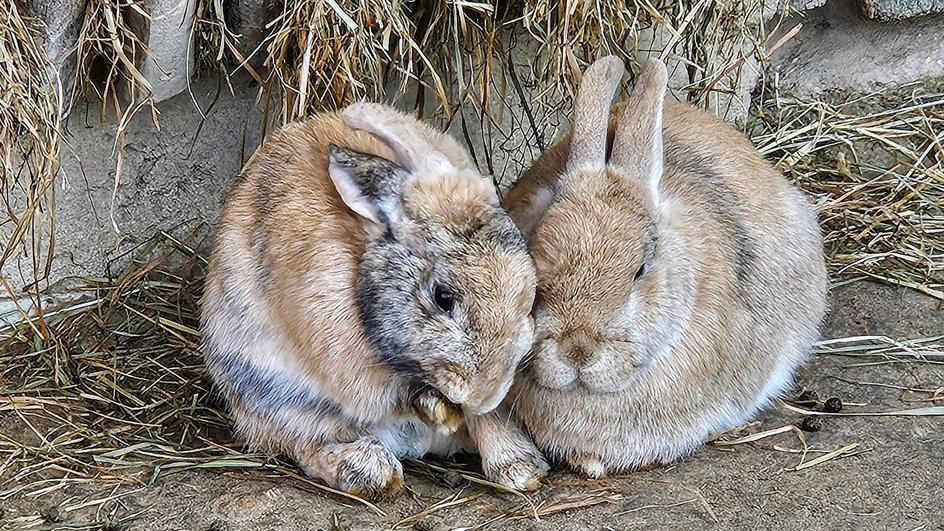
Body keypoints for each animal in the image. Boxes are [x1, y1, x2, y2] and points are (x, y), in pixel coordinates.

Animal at [199, 101, 540, 502]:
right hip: (274, 397)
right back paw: (369, 471)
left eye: (528, 291)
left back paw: (520, 468)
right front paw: (440, 411)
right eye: (443, 297)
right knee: (302, 442)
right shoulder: (340, 351)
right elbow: (386, 393)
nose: (485, 394)